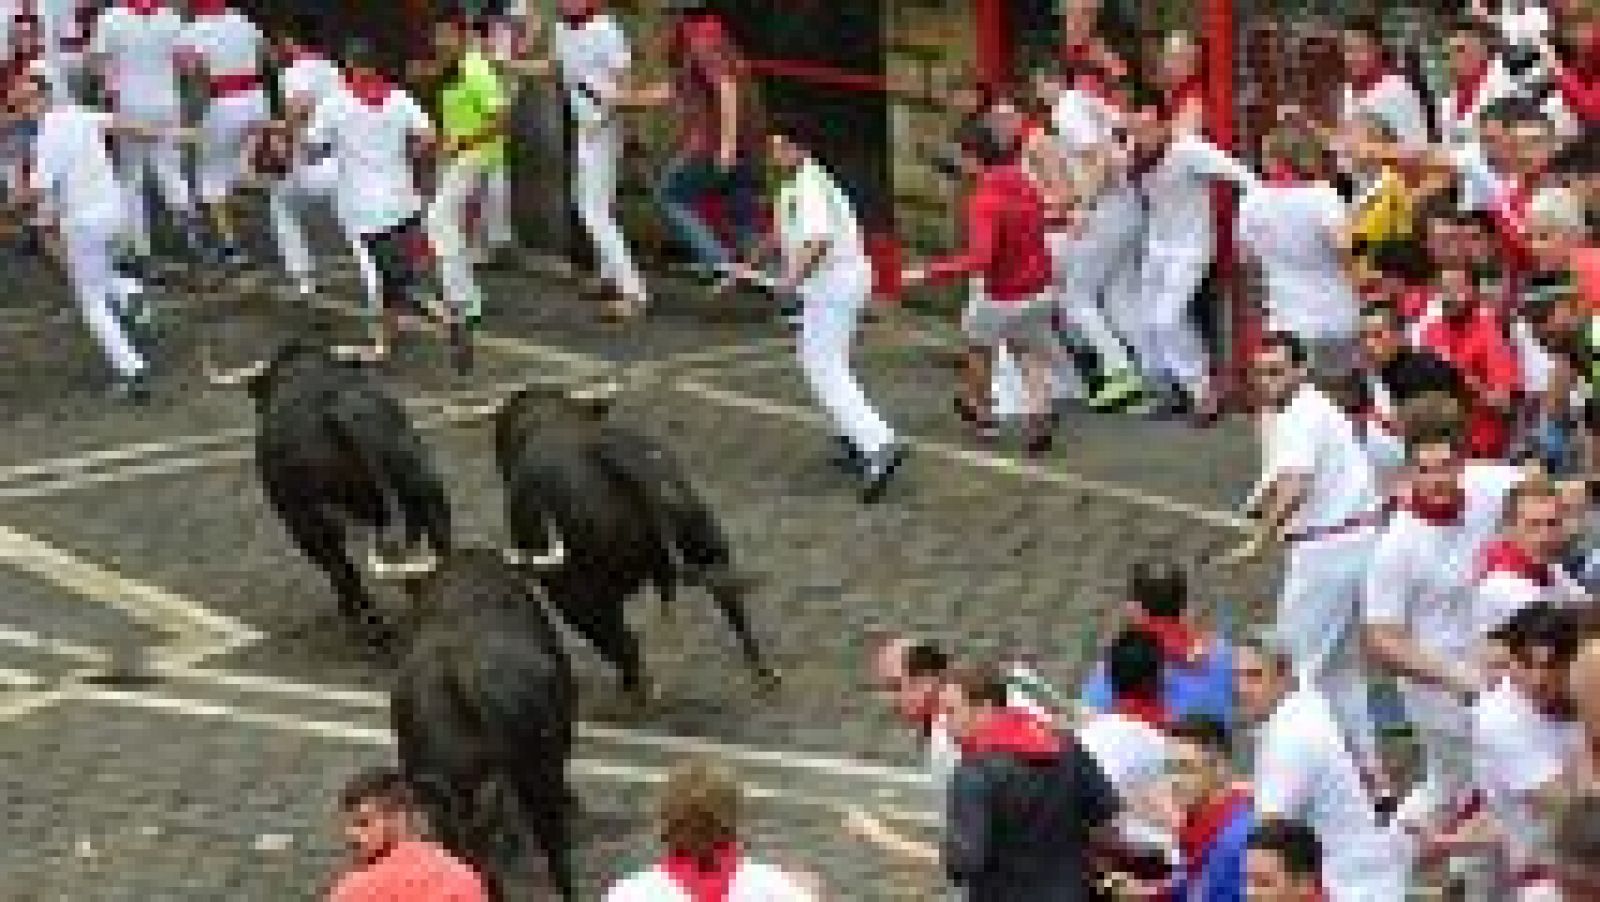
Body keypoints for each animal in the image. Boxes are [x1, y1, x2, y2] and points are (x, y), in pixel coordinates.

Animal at [206, 340, 454, 655]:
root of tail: (340, 409)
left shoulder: (299, 520)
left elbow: (339, 569)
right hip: (423, 484)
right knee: (436, 541)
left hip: (319, 518)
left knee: (345, 570)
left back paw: (373, 632)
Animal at [492, 380, 780, 697]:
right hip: (704, 537)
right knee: (731, 601)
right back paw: (764, 674)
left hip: (579, 595)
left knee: (623, 641)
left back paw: (638, 689)